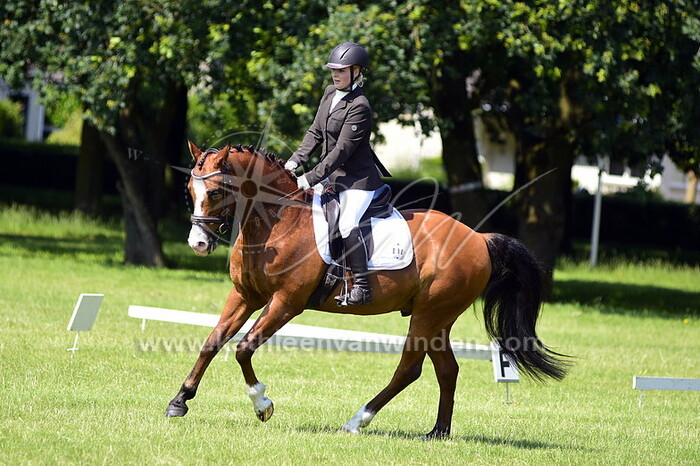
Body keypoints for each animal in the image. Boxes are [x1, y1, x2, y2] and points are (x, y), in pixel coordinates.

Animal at [165, 142, 569, 438]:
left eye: (215, 191)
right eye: (189, 189)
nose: (198, 244)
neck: (276, 224)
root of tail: (479, 239)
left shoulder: (286, 302)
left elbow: (243, 348)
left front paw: (262, 405)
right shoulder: (245, 296)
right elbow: (212, 342)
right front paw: (179, 401)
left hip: (428, 315)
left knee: (409, 370)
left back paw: (357, 421)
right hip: (438, 319)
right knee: (447, 369)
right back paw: (438, 432)